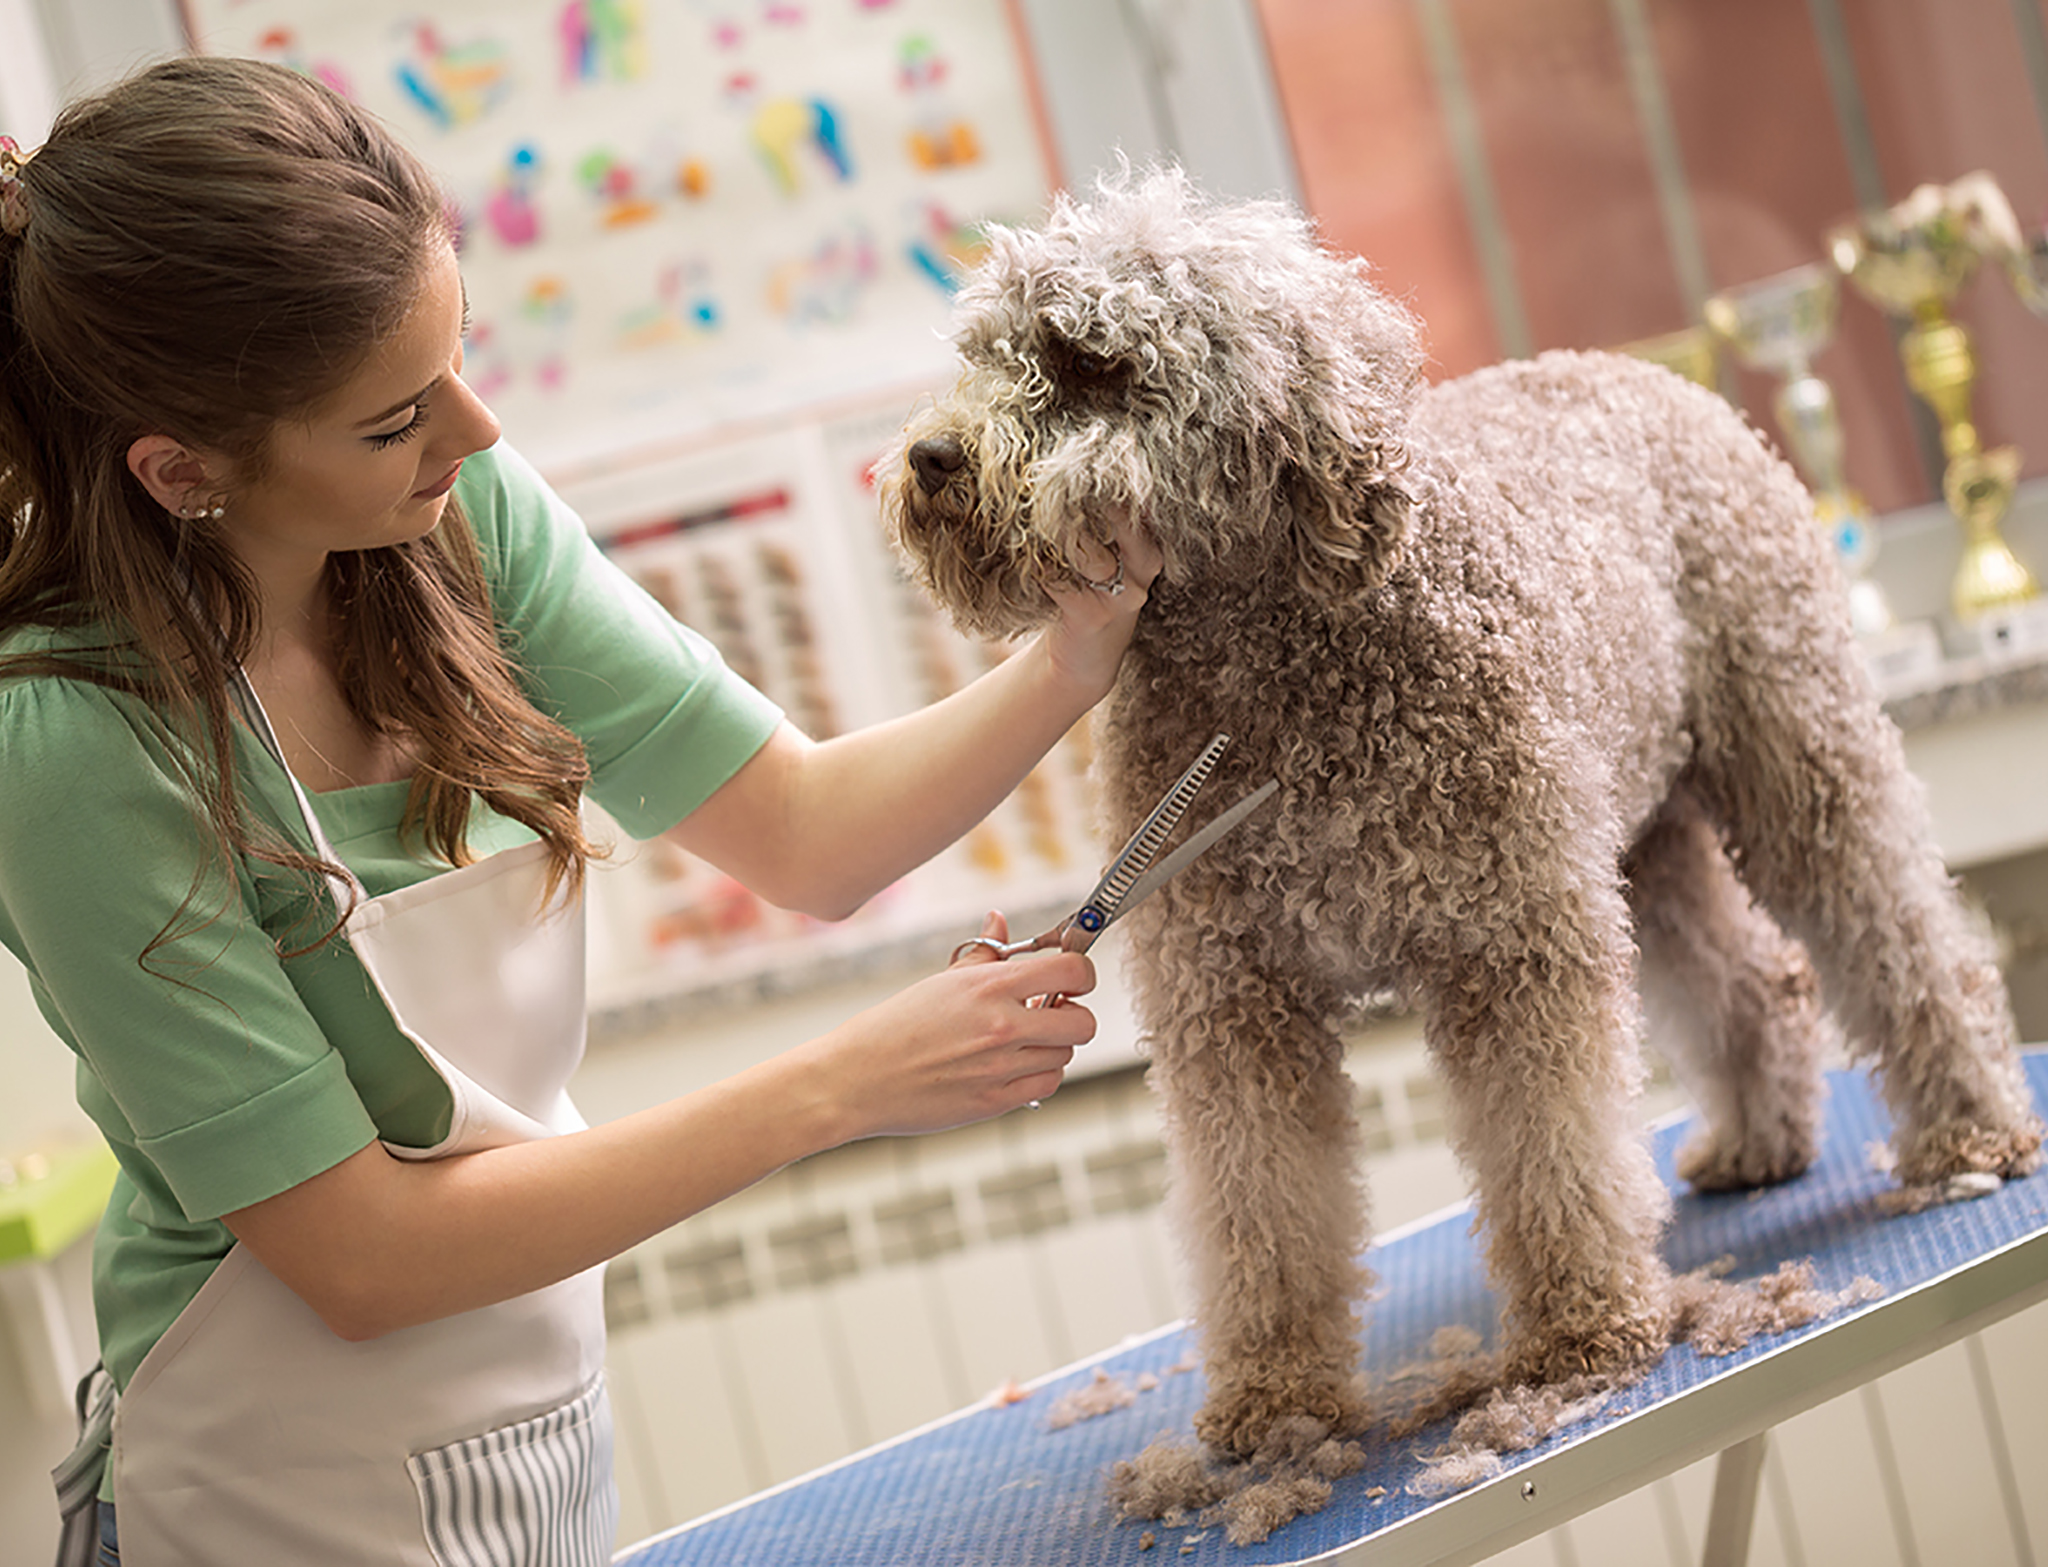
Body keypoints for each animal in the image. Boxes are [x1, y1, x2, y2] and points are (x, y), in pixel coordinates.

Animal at [872, 171, 2039, 1458]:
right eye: (980, 352)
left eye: (1085, 361)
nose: (928, 457)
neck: (1270, 677)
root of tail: (1636, 373)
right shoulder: (1230, 1002)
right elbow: (1258, 1205)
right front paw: (1275, 1394)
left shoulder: (1508, 941)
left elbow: (1550, 1145)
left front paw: (1581, 1329)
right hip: (1637, 845)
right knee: (1750, 978)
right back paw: (1757, 1138)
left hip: (1795, 765)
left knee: (1901, 939)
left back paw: (1970, 1129)